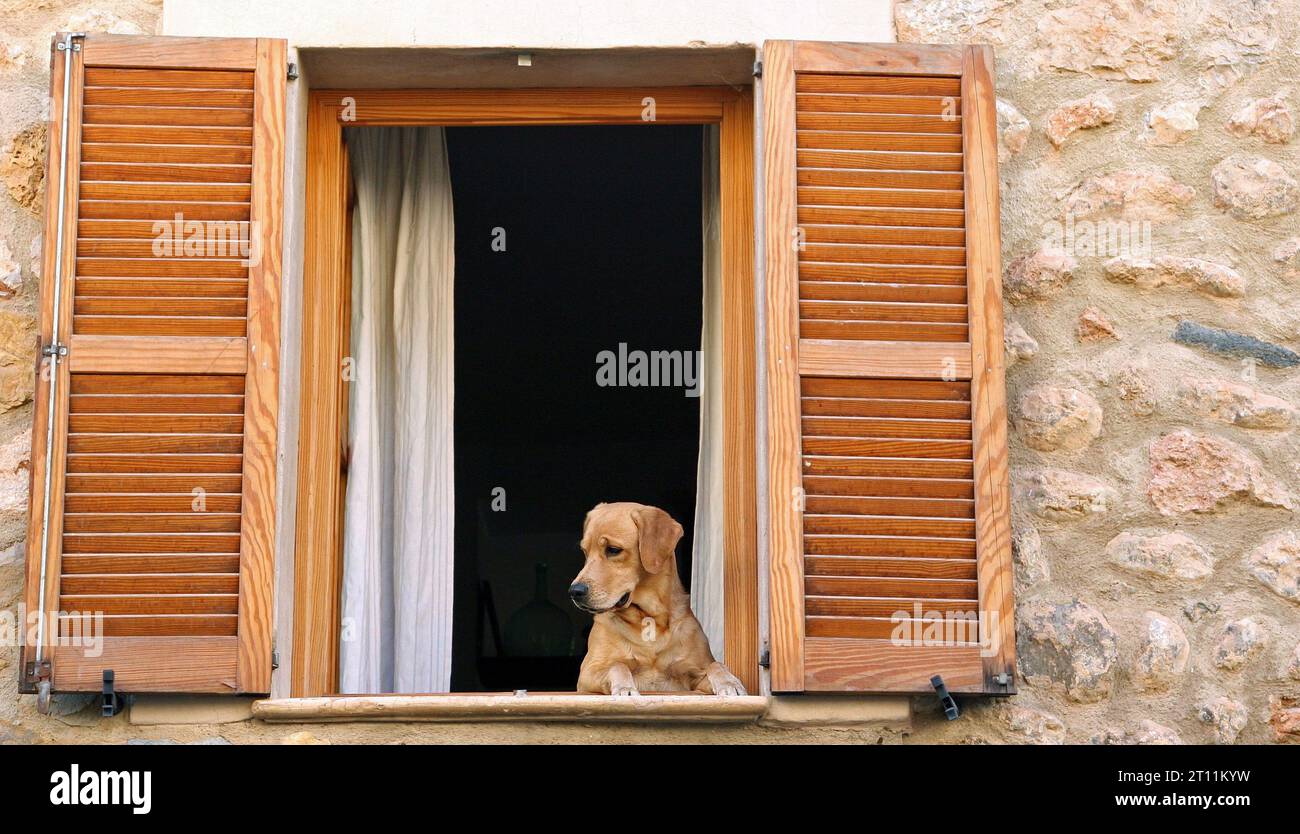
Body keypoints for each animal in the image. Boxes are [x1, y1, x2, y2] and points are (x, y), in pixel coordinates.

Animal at [566, 498, 743, 696]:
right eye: (585, 552)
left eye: (613, 550)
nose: (574, 591)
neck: (649, 617)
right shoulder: (588, 673)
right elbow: (617, 665)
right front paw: (625, 687)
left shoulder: (694, 675)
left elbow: (716, 665)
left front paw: (729, 682)